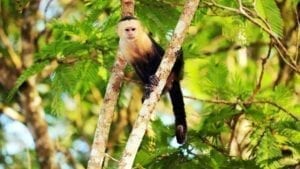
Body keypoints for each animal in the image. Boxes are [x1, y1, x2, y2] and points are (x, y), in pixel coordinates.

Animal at [118, 15, 186, 143]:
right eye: (127, 30)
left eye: (133, 29)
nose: (130, 34)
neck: (134, 43)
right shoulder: (123, 47)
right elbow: (137, 66)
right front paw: (148, 85)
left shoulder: (145, 40)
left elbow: (154, 55)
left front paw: (153, 78)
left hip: (174, 72)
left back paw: (178, 62)